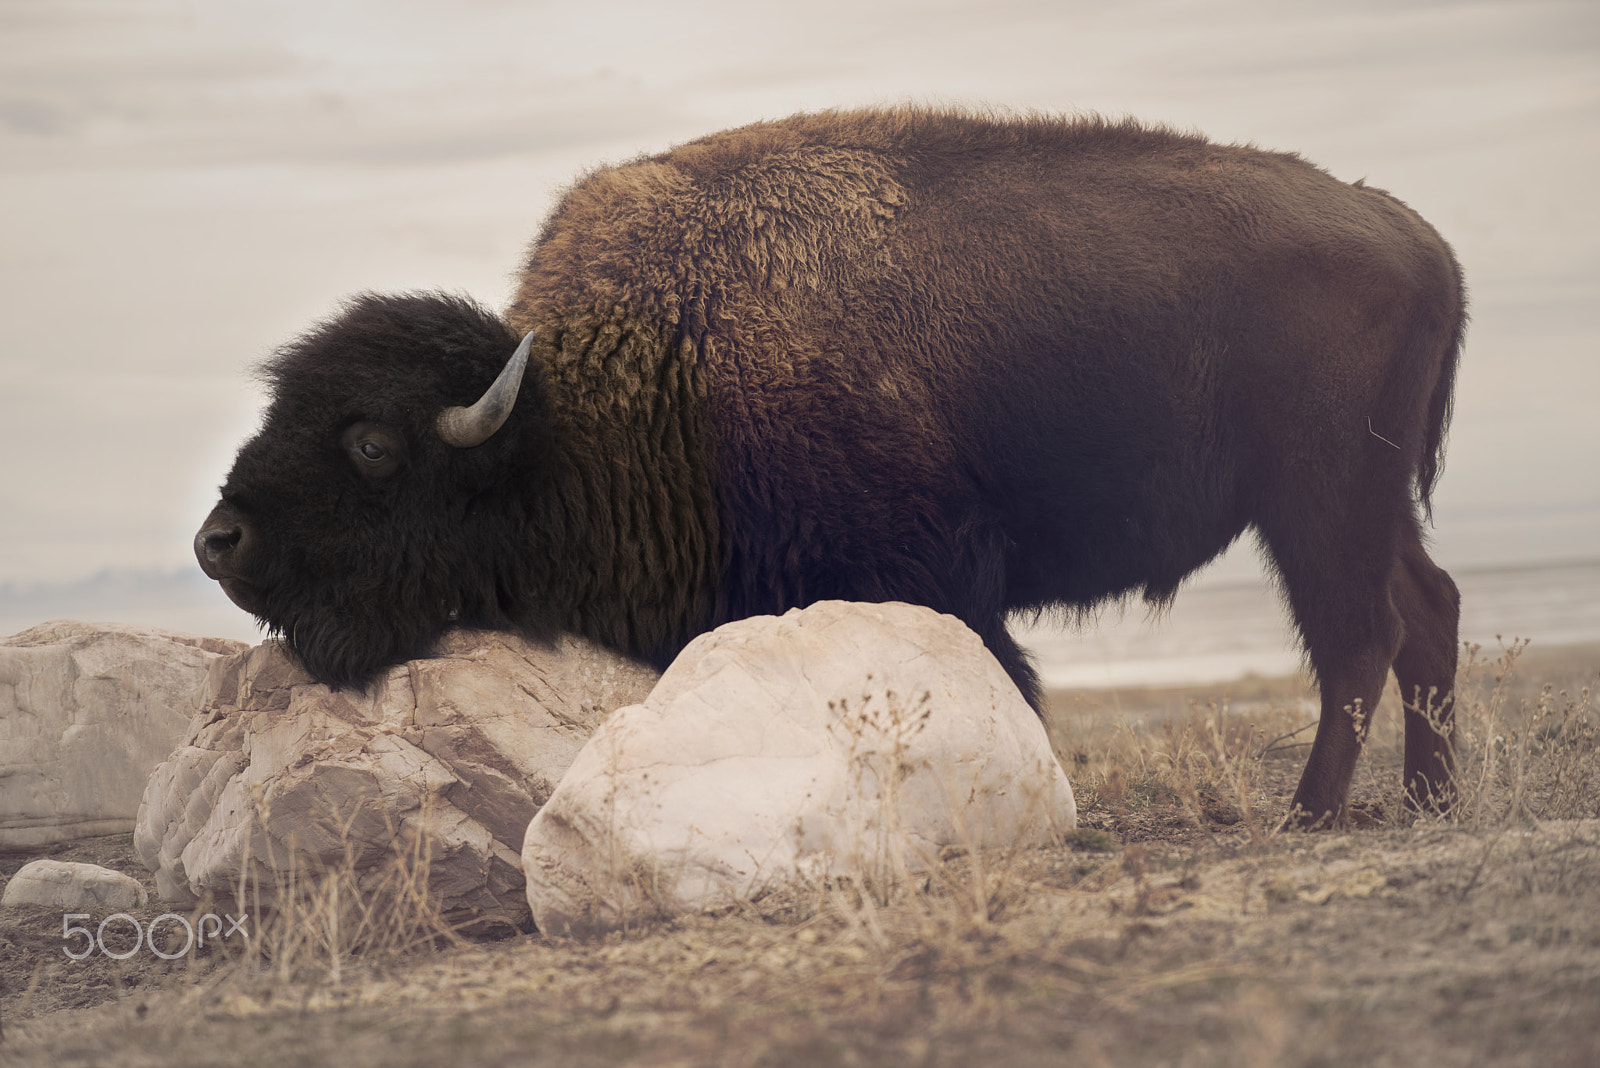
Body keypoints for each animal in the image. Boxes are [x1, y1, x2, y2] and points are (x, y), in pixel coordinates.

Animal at [196, 108, 1465, 826]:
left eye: (371, 444)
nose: (220, 542)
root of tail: (1406, 227)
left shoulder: (936, 579)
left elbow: (1001, 684)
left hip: (1317, 499)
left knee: (1358, 635)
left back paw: (1310, 814)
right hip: (1359, 504)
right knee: (1427, 609)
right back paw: (1428, 797)